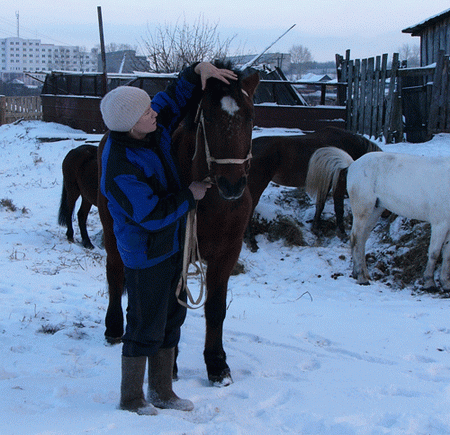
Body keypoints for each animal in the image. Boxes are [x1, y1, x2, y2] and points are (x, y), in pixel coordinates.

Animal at [98, 64, 260, 384]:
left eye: (250, 116)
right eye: (208, 116)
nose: (232, 185)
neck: (215, 204)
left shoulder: (227, 254)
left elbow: (215, 309)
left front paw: (217, 364)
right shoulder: (178, 256)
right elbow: (171, 308)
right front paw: (170, 364)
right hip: (112, 231)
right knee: (115, 273)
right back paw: (114, 327)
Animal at [244, 126, 382, 250]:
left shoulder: (325, 182)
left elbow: (320, 204)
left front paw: (316, 228)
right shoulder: (339, 182)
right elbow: (339, 208)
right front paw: (342, 233)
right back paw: (251, 241)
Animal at [308, 147, 450, 292]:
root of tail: (352, 165)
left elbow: (447, 254)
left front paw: (445, 283)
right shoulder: (440, 224)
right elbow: (434, 253)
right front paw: (430, 283)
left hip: (374, 211)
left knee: (362, 240)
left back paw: (361, 273)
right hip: (363, 211)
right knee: (356, 238)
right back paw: (361, 278)